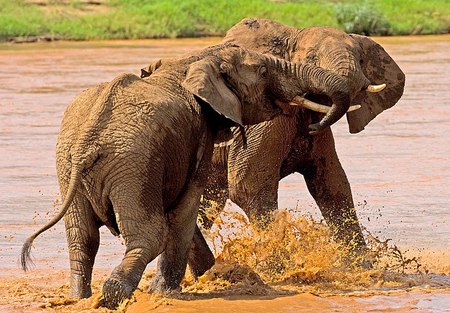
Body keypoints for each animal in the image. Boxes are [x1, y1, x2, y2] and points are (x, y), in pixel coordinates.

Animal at [21, 43, 354, 308]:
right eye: (262, 70)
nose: (314, 125)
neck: (192, 60)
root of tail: (88, 140)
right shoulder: (198, 137)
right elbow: (186, 205)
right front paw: (168, 293)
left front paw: (214, 276)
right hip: (134, 167)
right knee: (149, 234)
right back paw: (113, 296)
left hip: (70, 165)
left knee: (82, 238)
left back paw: (81, 298)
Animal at [188, 18, 406, 270]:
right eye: (311, 57)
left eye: (361, 60)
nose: (313, 128)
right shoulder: (264, 123)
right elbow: (249, 185)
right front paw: (277, 266)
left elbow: (333, 184)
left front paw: (361, 268)